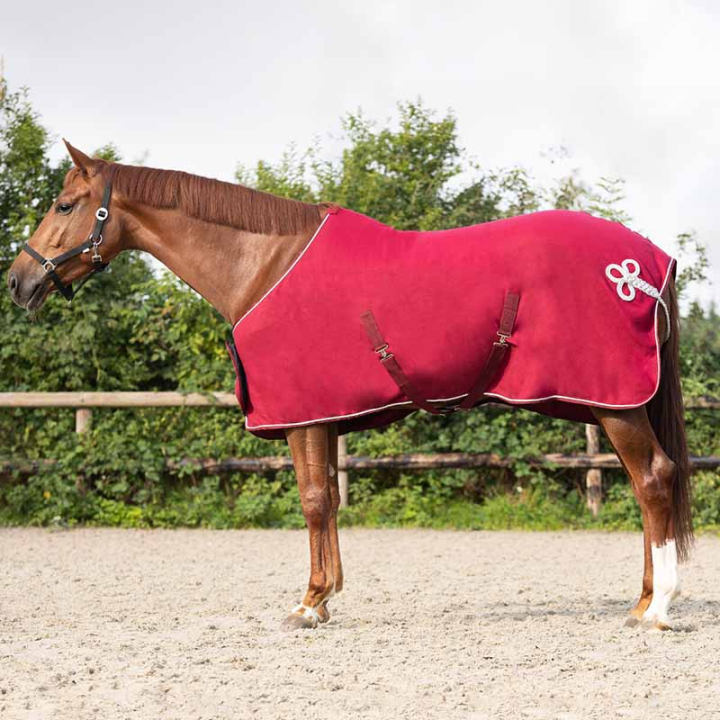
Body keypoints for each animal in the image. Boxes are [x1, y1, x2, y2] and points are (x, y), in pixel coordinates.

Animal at [7, 142, 692, 632]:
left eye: (64, 206)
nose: (18, 281)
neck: (265, 265)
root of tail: (649, 265)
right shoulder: (328, 416)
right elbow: (331, 501)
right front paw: (327, 596)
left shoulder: (305, 416)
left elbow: (312, 501)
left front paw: (308, 604)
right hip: (609, 404)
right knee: (642, 488)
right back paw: (640, 602)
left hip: (618, 406)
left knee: (653, 480)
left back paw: (657, 611)